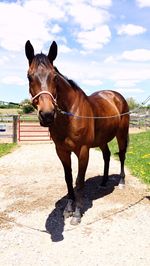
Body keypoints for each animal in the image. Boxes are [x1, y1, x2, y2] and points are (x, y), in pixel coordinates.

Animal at [25, 40, 129, 225]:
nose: (47, 115)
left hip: (121, 134)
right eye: (29, 77)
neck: (70, 114)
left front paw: (77, 214)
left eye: (54, 77)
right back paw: (103, 182)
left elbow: (79, 181)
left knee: (122, 155)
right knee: (107, 155)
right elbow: (68, 178)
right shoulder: (61, 151)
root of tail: (116, 96)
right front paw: (68, 208)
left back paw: (122, 182)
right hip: (102, 139)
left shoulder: (83, 150)